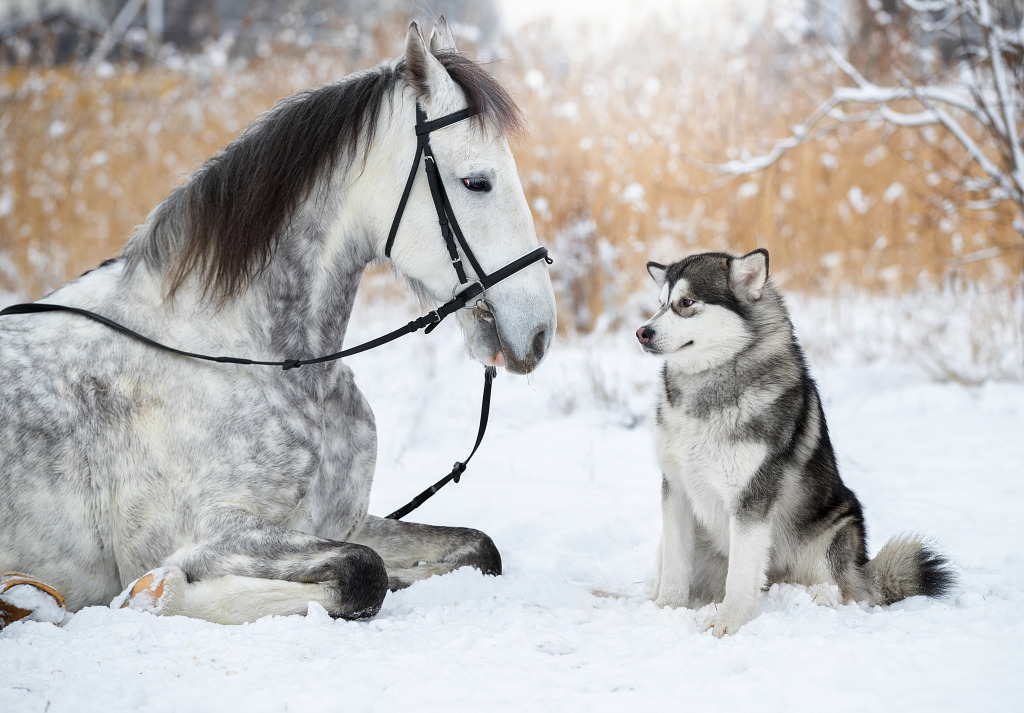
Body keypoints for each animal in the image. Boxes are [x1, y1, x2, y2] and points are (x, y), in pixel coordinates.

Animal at [0, 19, 557, 626]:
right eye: (478, 182)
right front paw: (162, 594)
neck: (251, 355)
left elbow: (477, 548)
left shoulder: (342, 521)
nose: (540, 332)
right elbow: (362, 572)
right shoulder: (209, 534)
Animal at [634, 248, 954, 635]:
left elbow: (740, 577)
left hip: (838, 526)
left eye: (686, 302)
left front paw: (727, 622)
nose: (642, 332)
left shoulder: (752, 497)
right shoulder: (676, 489)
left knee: (844, 589)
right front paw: (665, 610)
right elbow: (675, 567)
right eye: (661, 303)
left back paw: (820, 597)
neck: (707, 388)